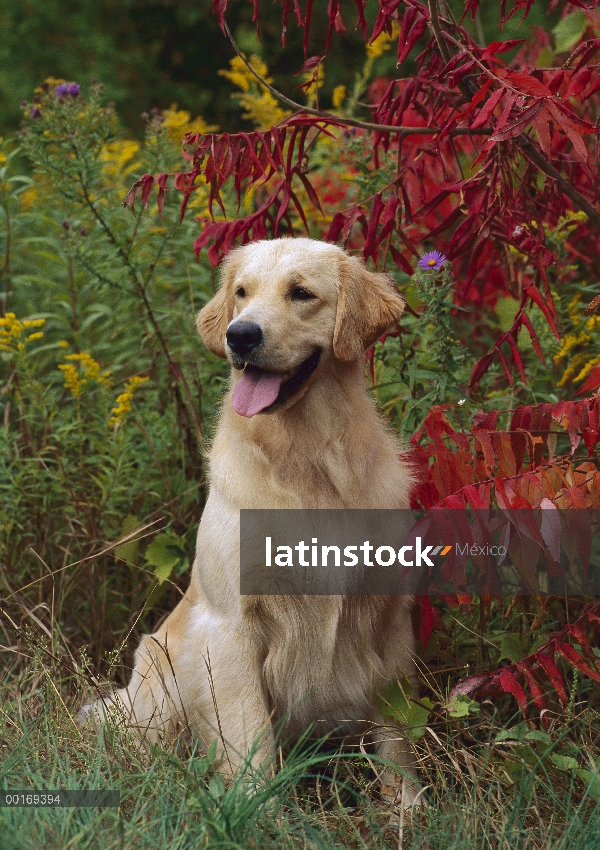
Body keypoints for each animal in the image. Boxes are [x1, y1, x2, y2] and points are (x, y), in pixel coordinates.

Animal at [85, 237, 422, 800]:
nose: (239, 334)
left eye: (301, 293)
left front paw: (409, 811)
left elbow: (399, 747)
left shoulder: (389, 623)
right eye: (241, 292)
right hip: (161, 679)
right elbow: (250, 743)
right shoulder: (231, 630)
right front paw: (257, 810)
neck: (306, 461)